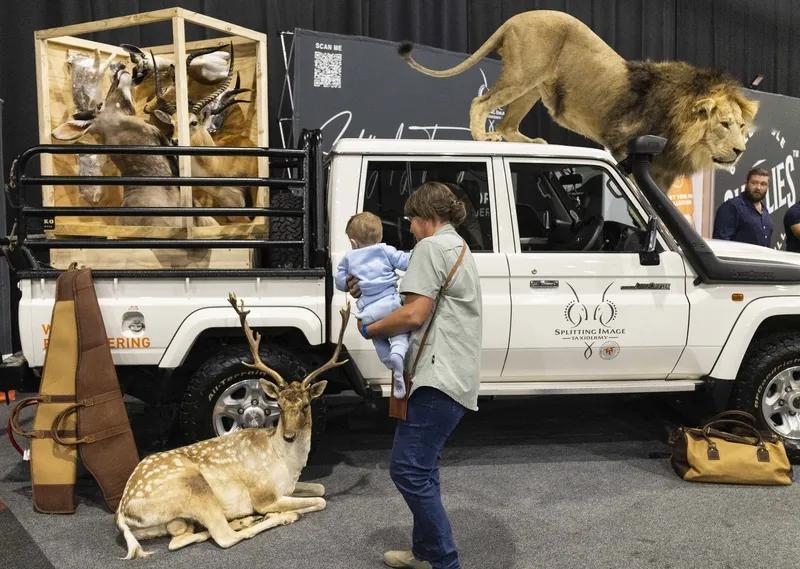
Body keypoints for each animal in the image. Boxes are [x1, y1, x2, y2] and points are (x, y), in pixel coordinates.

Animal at [114, 296, 348, 556]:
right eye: (279, 403)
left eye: (306, 405)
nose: (289, 435)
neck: (286, 462)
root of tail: (123, 513)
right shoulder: (264, 494)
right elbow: (319, 500)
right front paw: (282, 512)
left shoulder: (289, 487)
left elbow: (320, 489)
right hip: (194, 487)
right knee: (223, 536)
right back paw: (274, 517)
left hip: (173, 520)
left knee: (181, 539)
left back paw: (241, 520)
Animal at [400, 9, 756, 191]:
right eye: (724, 124)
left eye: (742, 127)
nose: (741, 151)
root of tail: (516, 17)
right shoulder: (627, 151)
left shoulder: (663, 173)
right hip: (524, 74)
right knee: (482, 104)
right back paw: (481, 138)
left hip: (533, 86)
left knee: (506, 122)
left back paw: (532, 143)